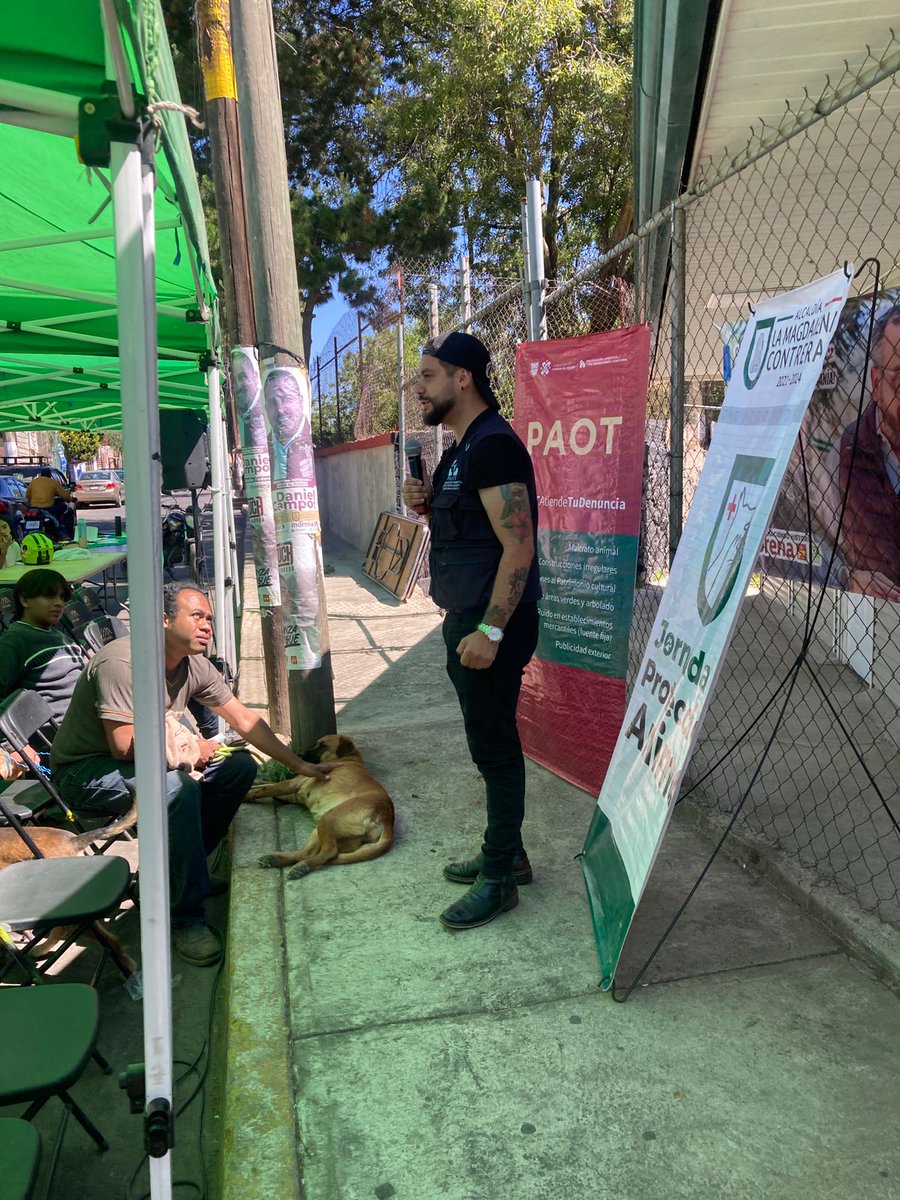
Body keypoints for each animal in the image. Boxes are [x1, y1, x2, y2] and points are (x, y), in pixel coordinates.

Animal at [252, 729, 396, 883]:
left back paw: (301, 866)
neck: (347, 758)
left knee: (329, 852)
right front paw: (257, 781)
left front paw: (248, 794)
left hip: (328, 818)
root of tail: (386, 817)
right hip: (320, 828)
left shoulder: (291, 784)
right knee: (307, 853)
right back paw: (274, 859)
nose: (299, 755)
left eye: (323, 745)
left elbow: (263, 789)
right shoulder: (293, 793)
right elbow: (266, 784)